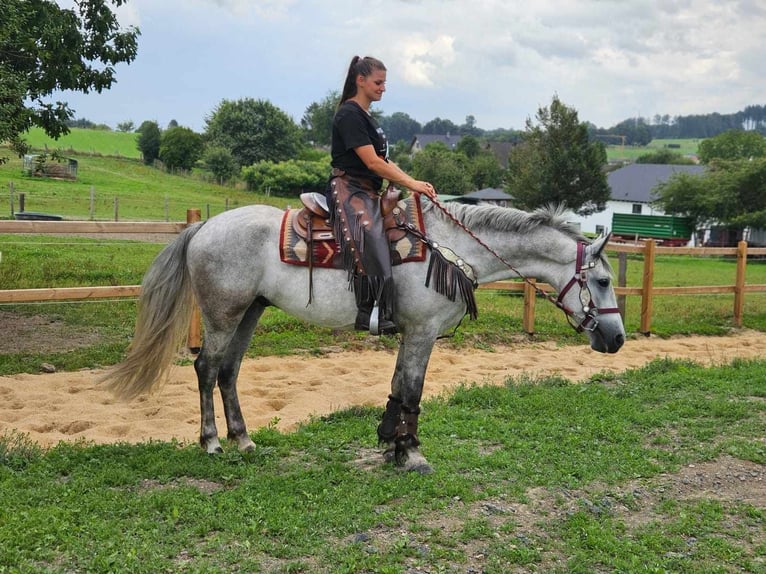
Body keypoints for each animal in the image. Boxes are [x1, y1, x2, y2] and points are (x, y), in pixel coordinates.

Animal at [103, 200, 624, 474]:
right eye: (602, 280)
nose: (617, 340)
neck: (450, 249)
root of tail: (204, 225)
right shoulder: (423, 333)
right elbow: (412, 391)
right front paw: (411, 453)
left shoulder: (411, 334)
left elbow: (396, 389)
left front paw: (391, 444)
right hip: (222, 315)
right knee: (206, 367)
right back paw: (211, 442)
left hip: (249, 313)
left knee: (229, 371)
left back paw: (243, 440)